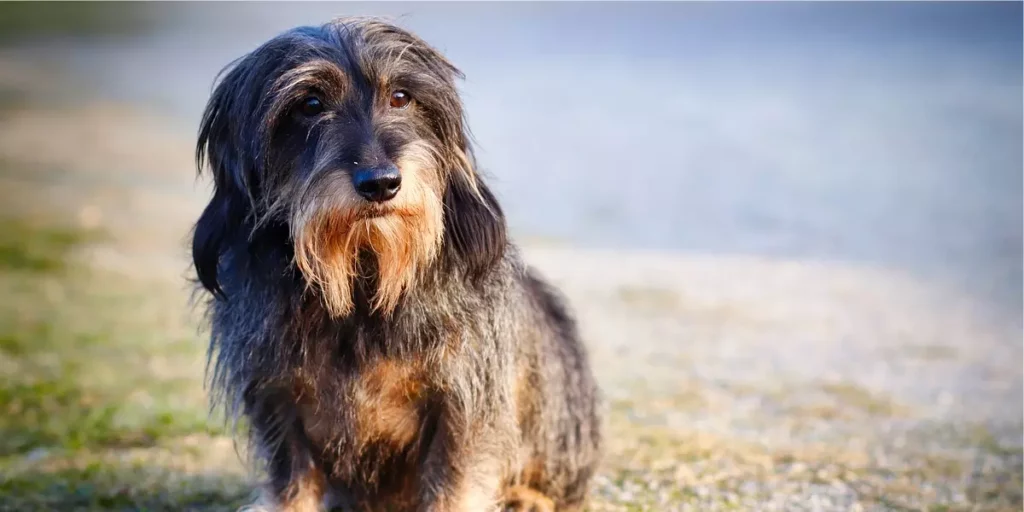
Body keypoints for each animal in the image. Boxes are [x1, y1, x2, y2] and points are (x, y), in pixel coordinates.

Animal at [193, 16, 598, 512]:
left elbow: (454, 482)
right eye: (310, 104)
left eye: (401, 96)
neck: (364, 280)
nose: (381, 183)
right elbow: (291, 481)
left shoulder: (462, 402)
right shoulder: (277, 400)